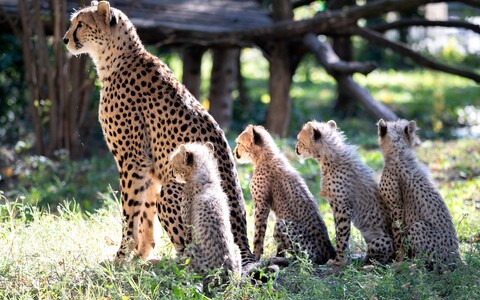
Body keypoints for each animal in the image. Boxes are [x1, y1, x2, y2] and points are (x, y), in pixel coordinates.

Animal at [63, 1, 255, 264]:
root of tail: (245, 244)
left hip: (173, 191)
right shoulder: (151, 168)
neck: (116, 57)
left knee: (192, 254)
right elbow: (145, 214)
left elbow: (129, 212)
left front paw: (121, 258)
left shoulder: (133, 159)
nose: (64, 39)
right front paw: (139, 256)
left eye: (80, 24)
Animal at [171, 143, 242, 282]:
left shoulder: (188, 227)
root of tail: (225, 274)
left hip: (193, 252)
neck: (206, 178)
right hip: (236, 249)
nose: (172, 173)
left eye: (174, 164)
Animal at [234, 125, 336, 264]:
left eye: (239, 143)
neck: (264, 156)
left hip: (282, 223)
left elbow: (258, 233)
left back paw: (281, 259)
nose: (234, 152)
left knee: (303, 258)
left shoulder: (262, 205)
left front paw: (255, 256)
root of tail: (329, 248)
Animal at [296, 120, 394, 264]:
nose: (296, 149)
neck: (328, 159)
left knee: (375, 258)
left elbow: (342, 234)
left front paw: (340, 260)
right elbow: (340, 233)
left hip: (382, 240)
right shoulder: (335, 206)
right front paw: (343, 257)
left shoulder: (343, 207)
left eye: (299, 140)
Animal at [378, 119, 462, 268]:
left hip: (418, 226)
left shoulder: (396, 208)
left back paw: (413, 265)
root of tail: (457, 258)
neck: (399, 153)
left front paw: (398, 262)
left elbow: (398, 236)